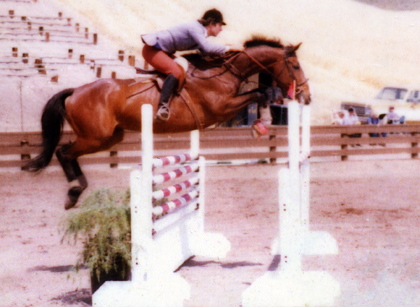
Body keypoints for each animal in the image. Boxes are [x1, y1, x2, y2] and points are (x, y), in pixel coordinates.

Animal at [24, 35, 310, 209]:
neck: (223, 71)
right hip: (95, 136)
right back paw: (74, 191)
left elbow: (261, 93)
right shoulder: (221, 109)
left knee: (69, 153)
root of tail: (75, 91)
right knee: (63, 151)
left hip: (109, 137)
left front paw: (261, 125)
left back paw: (76, 190)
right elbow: (260, 93)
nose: (306, 96)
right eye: (295, 67)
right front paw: (261, 124)